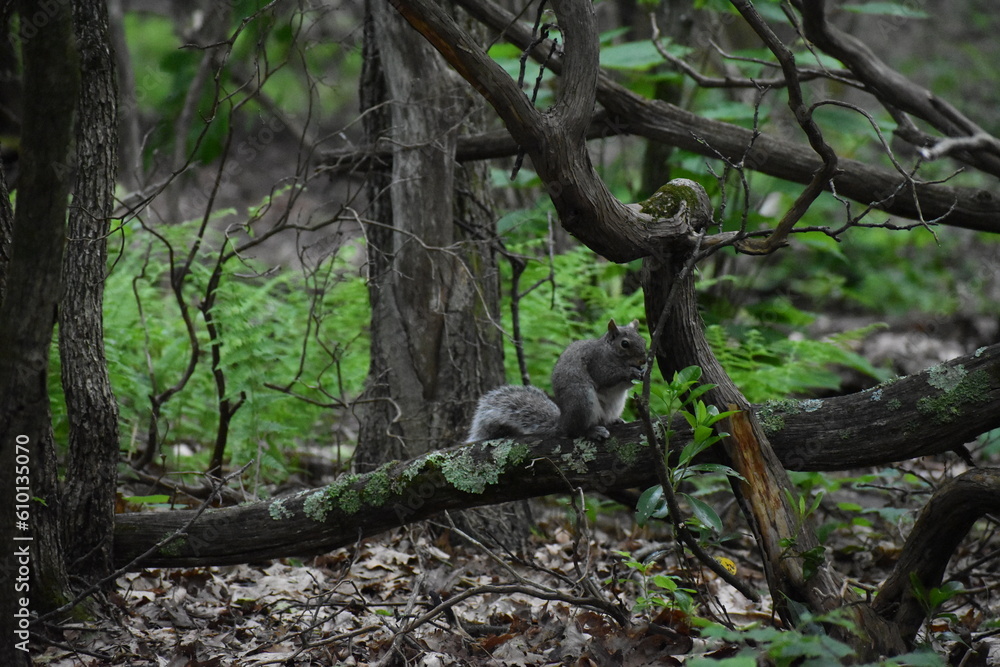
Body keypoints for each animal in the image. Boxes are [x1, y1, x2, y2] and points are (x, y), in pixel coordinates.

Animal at [466, 319, 647, 442]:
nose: (643, 360)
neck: (610, 351)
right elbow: (607, 376)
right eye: (625, 344)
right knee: (575, 432)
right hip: (582, 401)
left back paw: (615, 421)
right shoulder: (596, 362)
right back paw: (592, 431)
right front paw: (631, 372)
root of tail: (562, 423)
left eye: (644, 340)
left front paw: (643, 372)